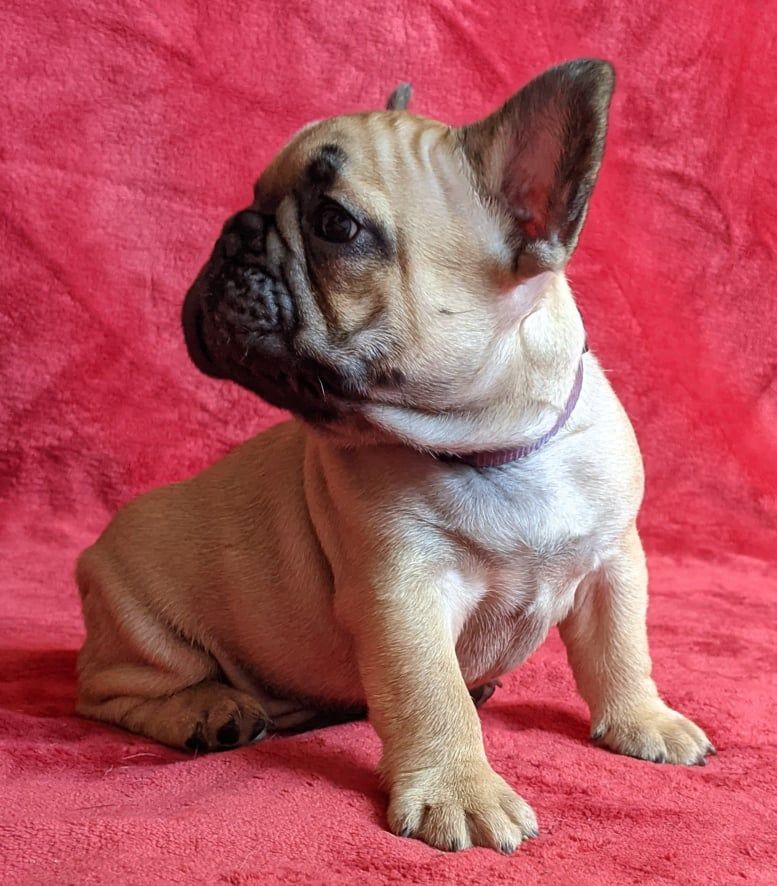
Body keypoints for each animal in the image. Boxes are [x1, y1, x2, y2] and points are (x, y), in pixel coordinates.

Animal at [75, 59, 714, 853]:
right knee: (109, 692)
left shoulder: (613, 563)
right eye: (254, 197)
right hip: (143, 625)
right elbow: (432, 694)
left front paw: (643, 720)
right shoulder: (400, 595)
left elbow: (623, 649)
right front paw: (461, 791)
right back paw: (208, 711)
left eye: (335, 225)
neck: (494, 449)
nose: (233, 231)